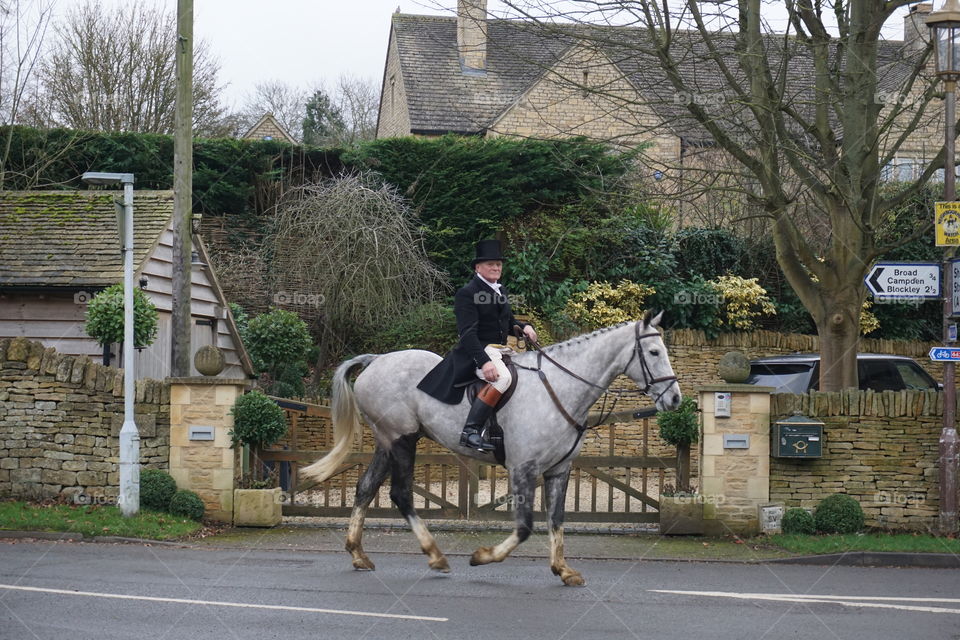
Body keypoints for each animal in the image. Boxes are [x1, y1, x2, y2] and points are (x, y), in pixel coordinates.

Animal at [300, 311, 681, 586]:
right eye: (653, 352)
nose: (675, 399)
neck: (561, 387)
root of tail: (377, 359)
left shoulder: (558, 471)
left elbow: (557, 521)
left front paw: (563, 570)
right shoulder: (523, 468)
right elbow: (525, 527)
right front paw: (482, 557)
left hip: (386, 441)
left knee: (365, 488)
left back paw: (358, 554)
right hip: (402, 439)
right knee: (401, 494)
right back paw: (435, 556)